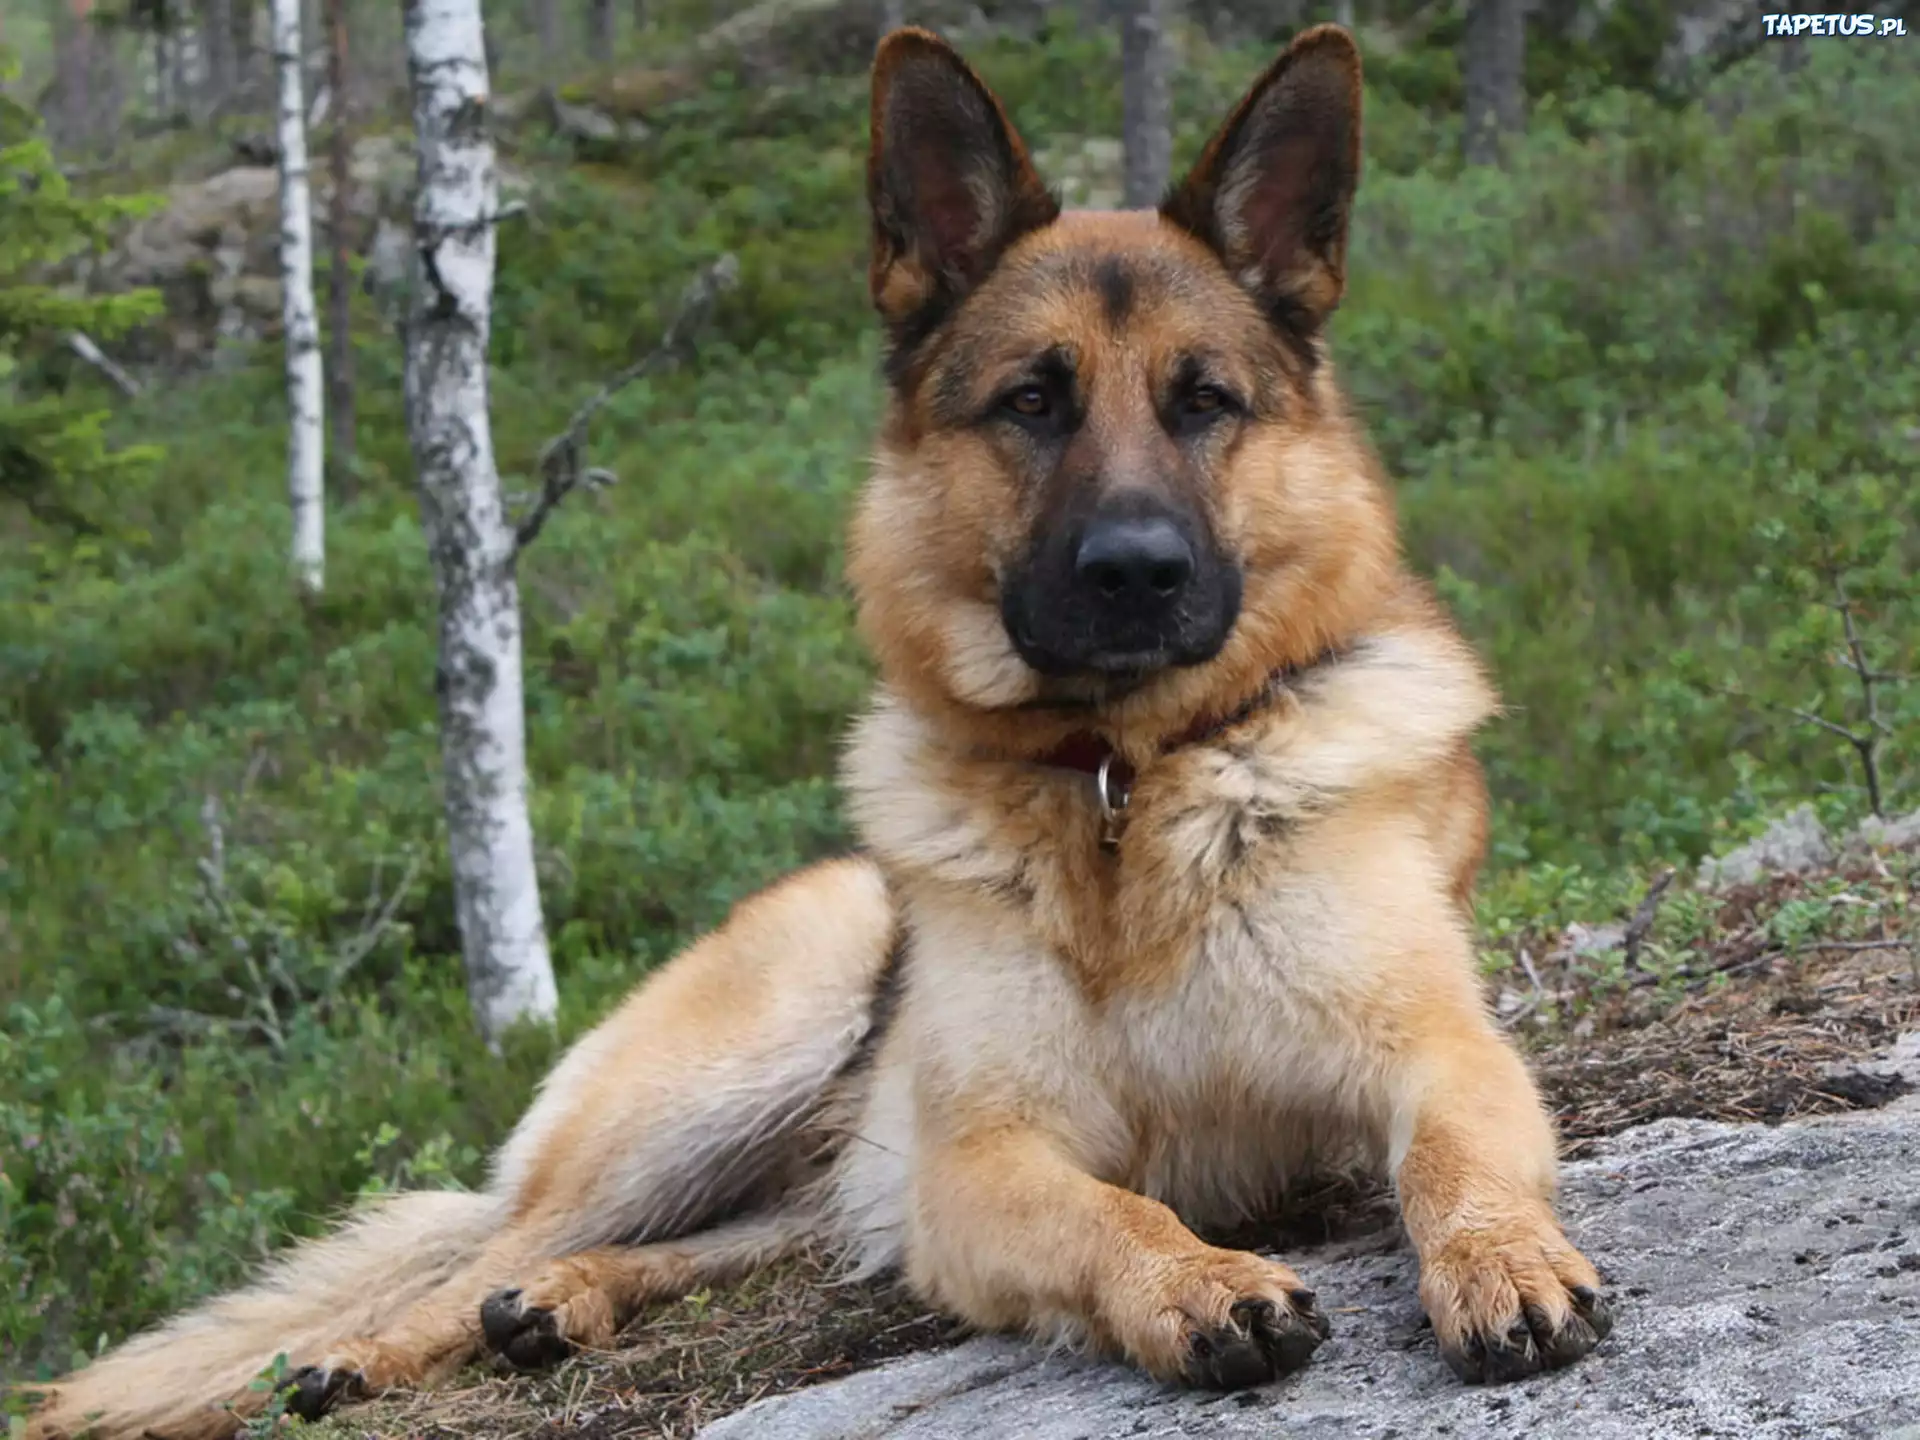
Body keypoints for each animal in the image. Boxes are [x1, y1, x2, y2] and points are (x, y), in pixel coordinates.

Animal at [37, 22, 1612, 1440]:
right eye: (1032, 402)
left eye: (1204, 402)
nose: (1136, 572)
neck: (1126, 783)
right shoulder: (984, 1160)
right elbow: (1111, 1213)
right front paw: (1197, 1283)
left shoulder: (1441, 1059)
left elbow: (1454, 1165)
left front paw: (1504, 1260)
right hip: (740, 1059)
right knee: (482, 1248)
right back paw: (362, 1350)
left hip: (808, 1163)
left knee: (681, 1248)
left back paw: (562, 1303)